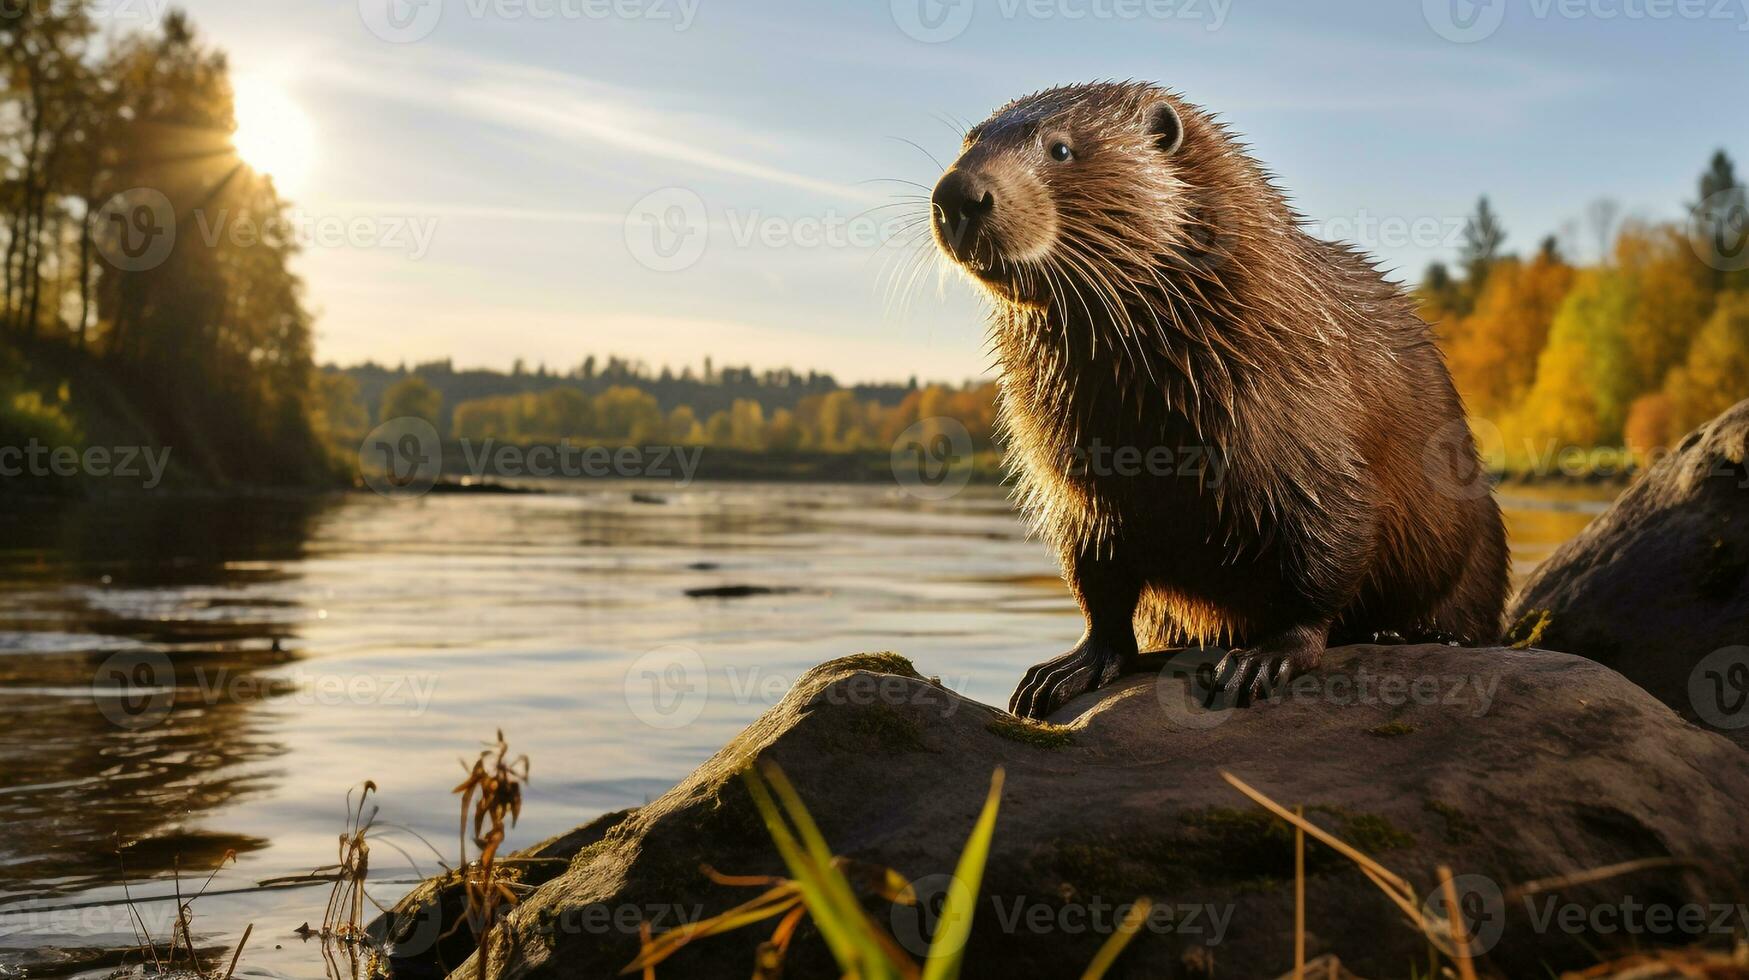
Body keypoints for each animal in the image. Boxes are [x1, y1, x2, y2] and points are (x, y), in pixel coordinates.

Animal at [930, 82, 1518, 721]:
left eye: (1061, 148)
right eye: (968, 141)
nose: (957, 194)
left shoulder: (1309, 439)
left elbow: (1328, 554)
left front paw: (1261, 659)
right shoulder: (1075, 482)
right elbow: (1096, 579)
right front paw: (1067, 669)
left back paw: (1410, 632)